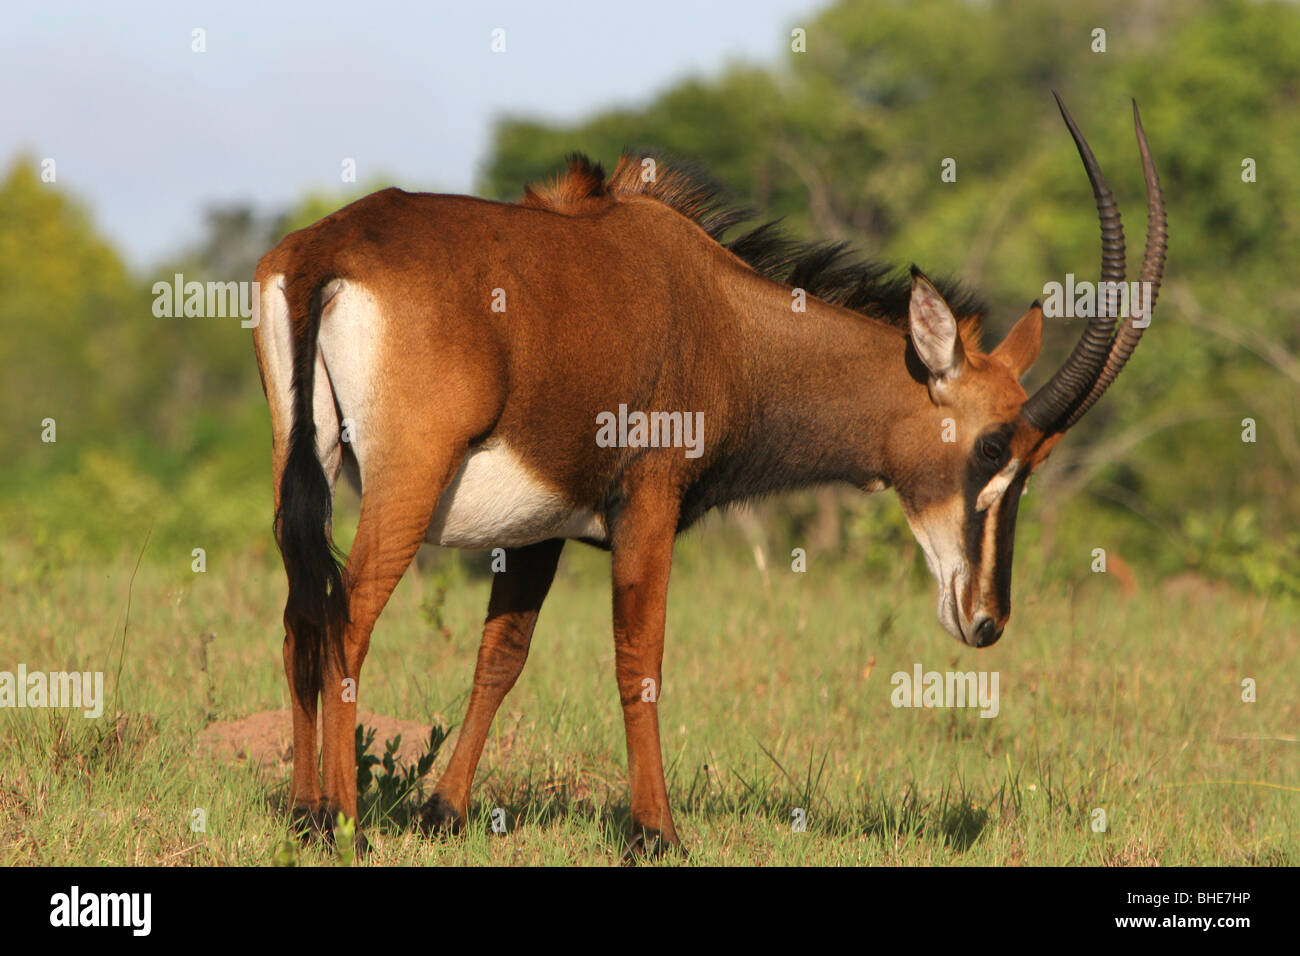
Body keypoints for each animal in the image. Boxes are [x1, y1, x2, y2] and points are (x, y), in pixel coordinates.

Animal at [248, 97, 1164, 858]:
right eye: (991, 445)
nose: (985, 620)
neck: (721, 315)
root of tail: (326, 250)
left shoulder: (538, 528)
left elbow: (500, 658)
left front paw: (445, 813)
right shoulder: (648, 502)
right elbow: (639, 659)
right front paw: (656, 834)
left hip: (302, 465)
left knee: (301, 616)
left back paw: (302, 815)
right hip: (407, 479)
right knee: (347, 618)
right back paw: (344, 824)